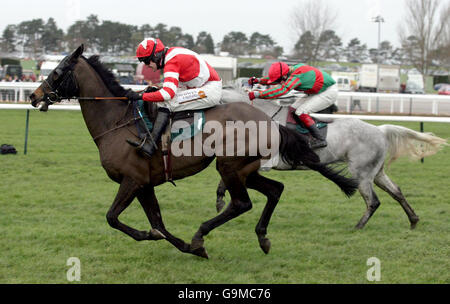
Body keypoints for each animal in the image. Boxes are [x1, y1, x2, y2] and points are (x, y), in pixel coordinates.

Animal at [28, 45, 358, 258]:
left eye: (57, 72)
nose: (33, 96)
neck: (117, 123)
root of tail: (270, 121)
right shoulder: (144, 184)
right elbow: (158, 222)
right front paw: (181, 245)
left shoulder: (132, 180)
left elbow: (112, 217)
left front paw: (172, 241)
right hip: (245, 169)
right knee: (275, 190)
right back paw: (261, 238)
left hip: (228, 165)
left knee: (241, 203)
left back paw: (201, 235)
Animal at [217, 86, 446, 229]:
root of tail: (380, 130)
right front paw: (221, 200)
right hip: (377, 173)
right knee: (396, 192)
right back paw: (413, 220)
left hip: (362, 174)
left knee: (373, 201)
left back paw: (358, 227)